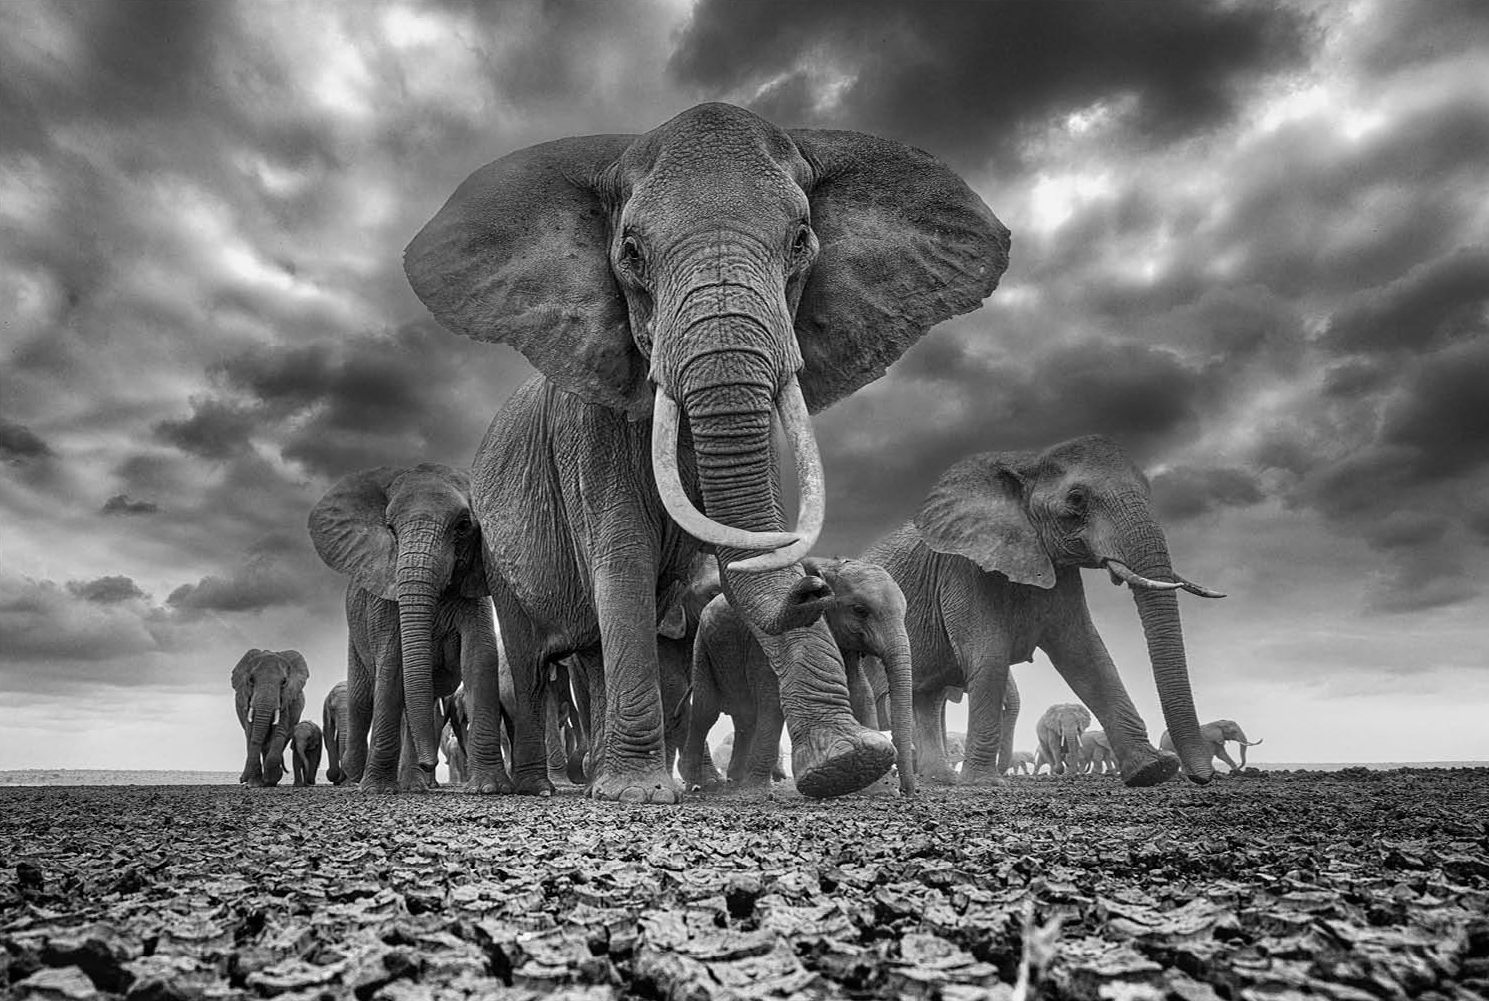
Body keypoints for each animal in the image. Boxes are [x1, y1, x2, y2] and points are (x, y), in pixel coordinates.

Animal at [231, 649, 309, 787]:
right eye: (251, 680)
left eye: (284, 682)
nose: (241, 779)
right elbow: (251, 733)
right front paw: (255, 785)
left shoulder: (286, 700)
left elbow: (278, 732)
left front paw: (270, 780)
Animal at [308, 463, 502, 793]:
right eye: (390, 528)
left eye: (463, 526)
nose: (431, 763)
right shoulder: (385, 595)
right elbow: (392, 664)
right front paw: (377, 790)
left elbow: (479, 658)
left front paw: (488, 788)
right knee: (362, 698)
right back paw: (356, 779)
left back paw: (413, 784)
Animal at [682, 558, 916, 794]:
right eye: (859, 610)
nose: (906, 791)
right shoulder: (765, 643)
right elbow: (772, 699)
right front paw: (757, 790)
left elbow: (861, 693)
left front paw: (876, 785)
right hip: (702, 648)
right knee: (706, 711)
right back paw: (702, 782)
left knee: (745, 717)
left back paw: (735, 780)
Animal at [862, 435, 1226, 787]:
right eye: (1077, 499)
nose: (1201, 777)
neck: (1025, 463)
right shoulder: (961, 569)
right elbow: (990, 656)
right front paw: (983, 784)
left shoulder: (1060, 574)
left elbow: (1086, 655)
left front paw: (1154, 770)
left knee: (927, 698)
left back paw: (942, 779)